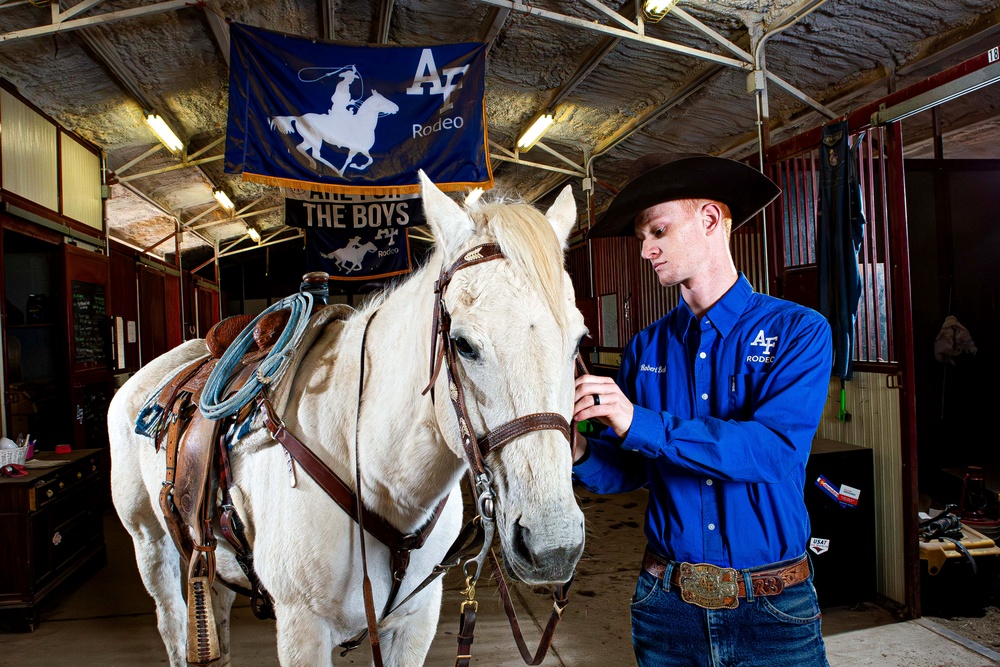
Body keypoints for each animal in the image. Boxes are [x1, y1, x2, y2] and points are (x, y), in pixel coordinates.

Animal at [108, 174, 584, 667]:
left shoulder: (415, 623)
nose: (554, 543)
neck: (381, 484)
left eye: (578, 341)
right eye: (463, 344)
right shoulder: (302, 630)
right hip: (151, 545)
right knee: (172, 621)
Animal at [274, 89, 402, 177]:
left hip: (309, 140)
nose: (397, 108)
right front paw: (344, 171)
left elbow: (369, 160)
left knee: (300, 148)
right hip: (315, 140)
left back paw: (314, 164)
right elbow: (352, 160)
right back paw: (333, 169)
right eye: (381, 102)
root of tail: (299, 118)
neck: (363, 124)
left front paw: (355, 166)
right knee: (315, 154)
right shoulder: (355, 149)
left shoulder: (363, 150)